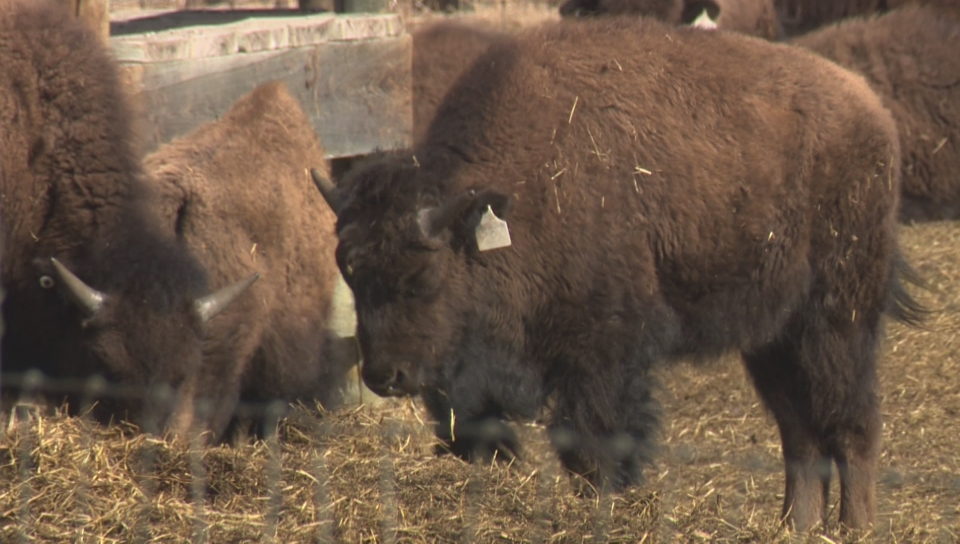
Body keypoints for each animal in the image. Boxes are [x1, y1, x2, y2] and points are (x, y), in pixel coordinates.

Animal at [316, 18, 924, 532]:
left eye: (423, 275)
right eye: (349, 272)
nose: (384, 375)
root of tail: (872, 112)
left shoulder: (600, 354)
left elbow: (593, 443)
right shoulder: (471, 376)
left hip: (838, 319)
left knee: (852, 421)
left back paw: (857, 527)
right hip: (772, 336)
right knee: (799, 431)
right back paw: (794, 527)